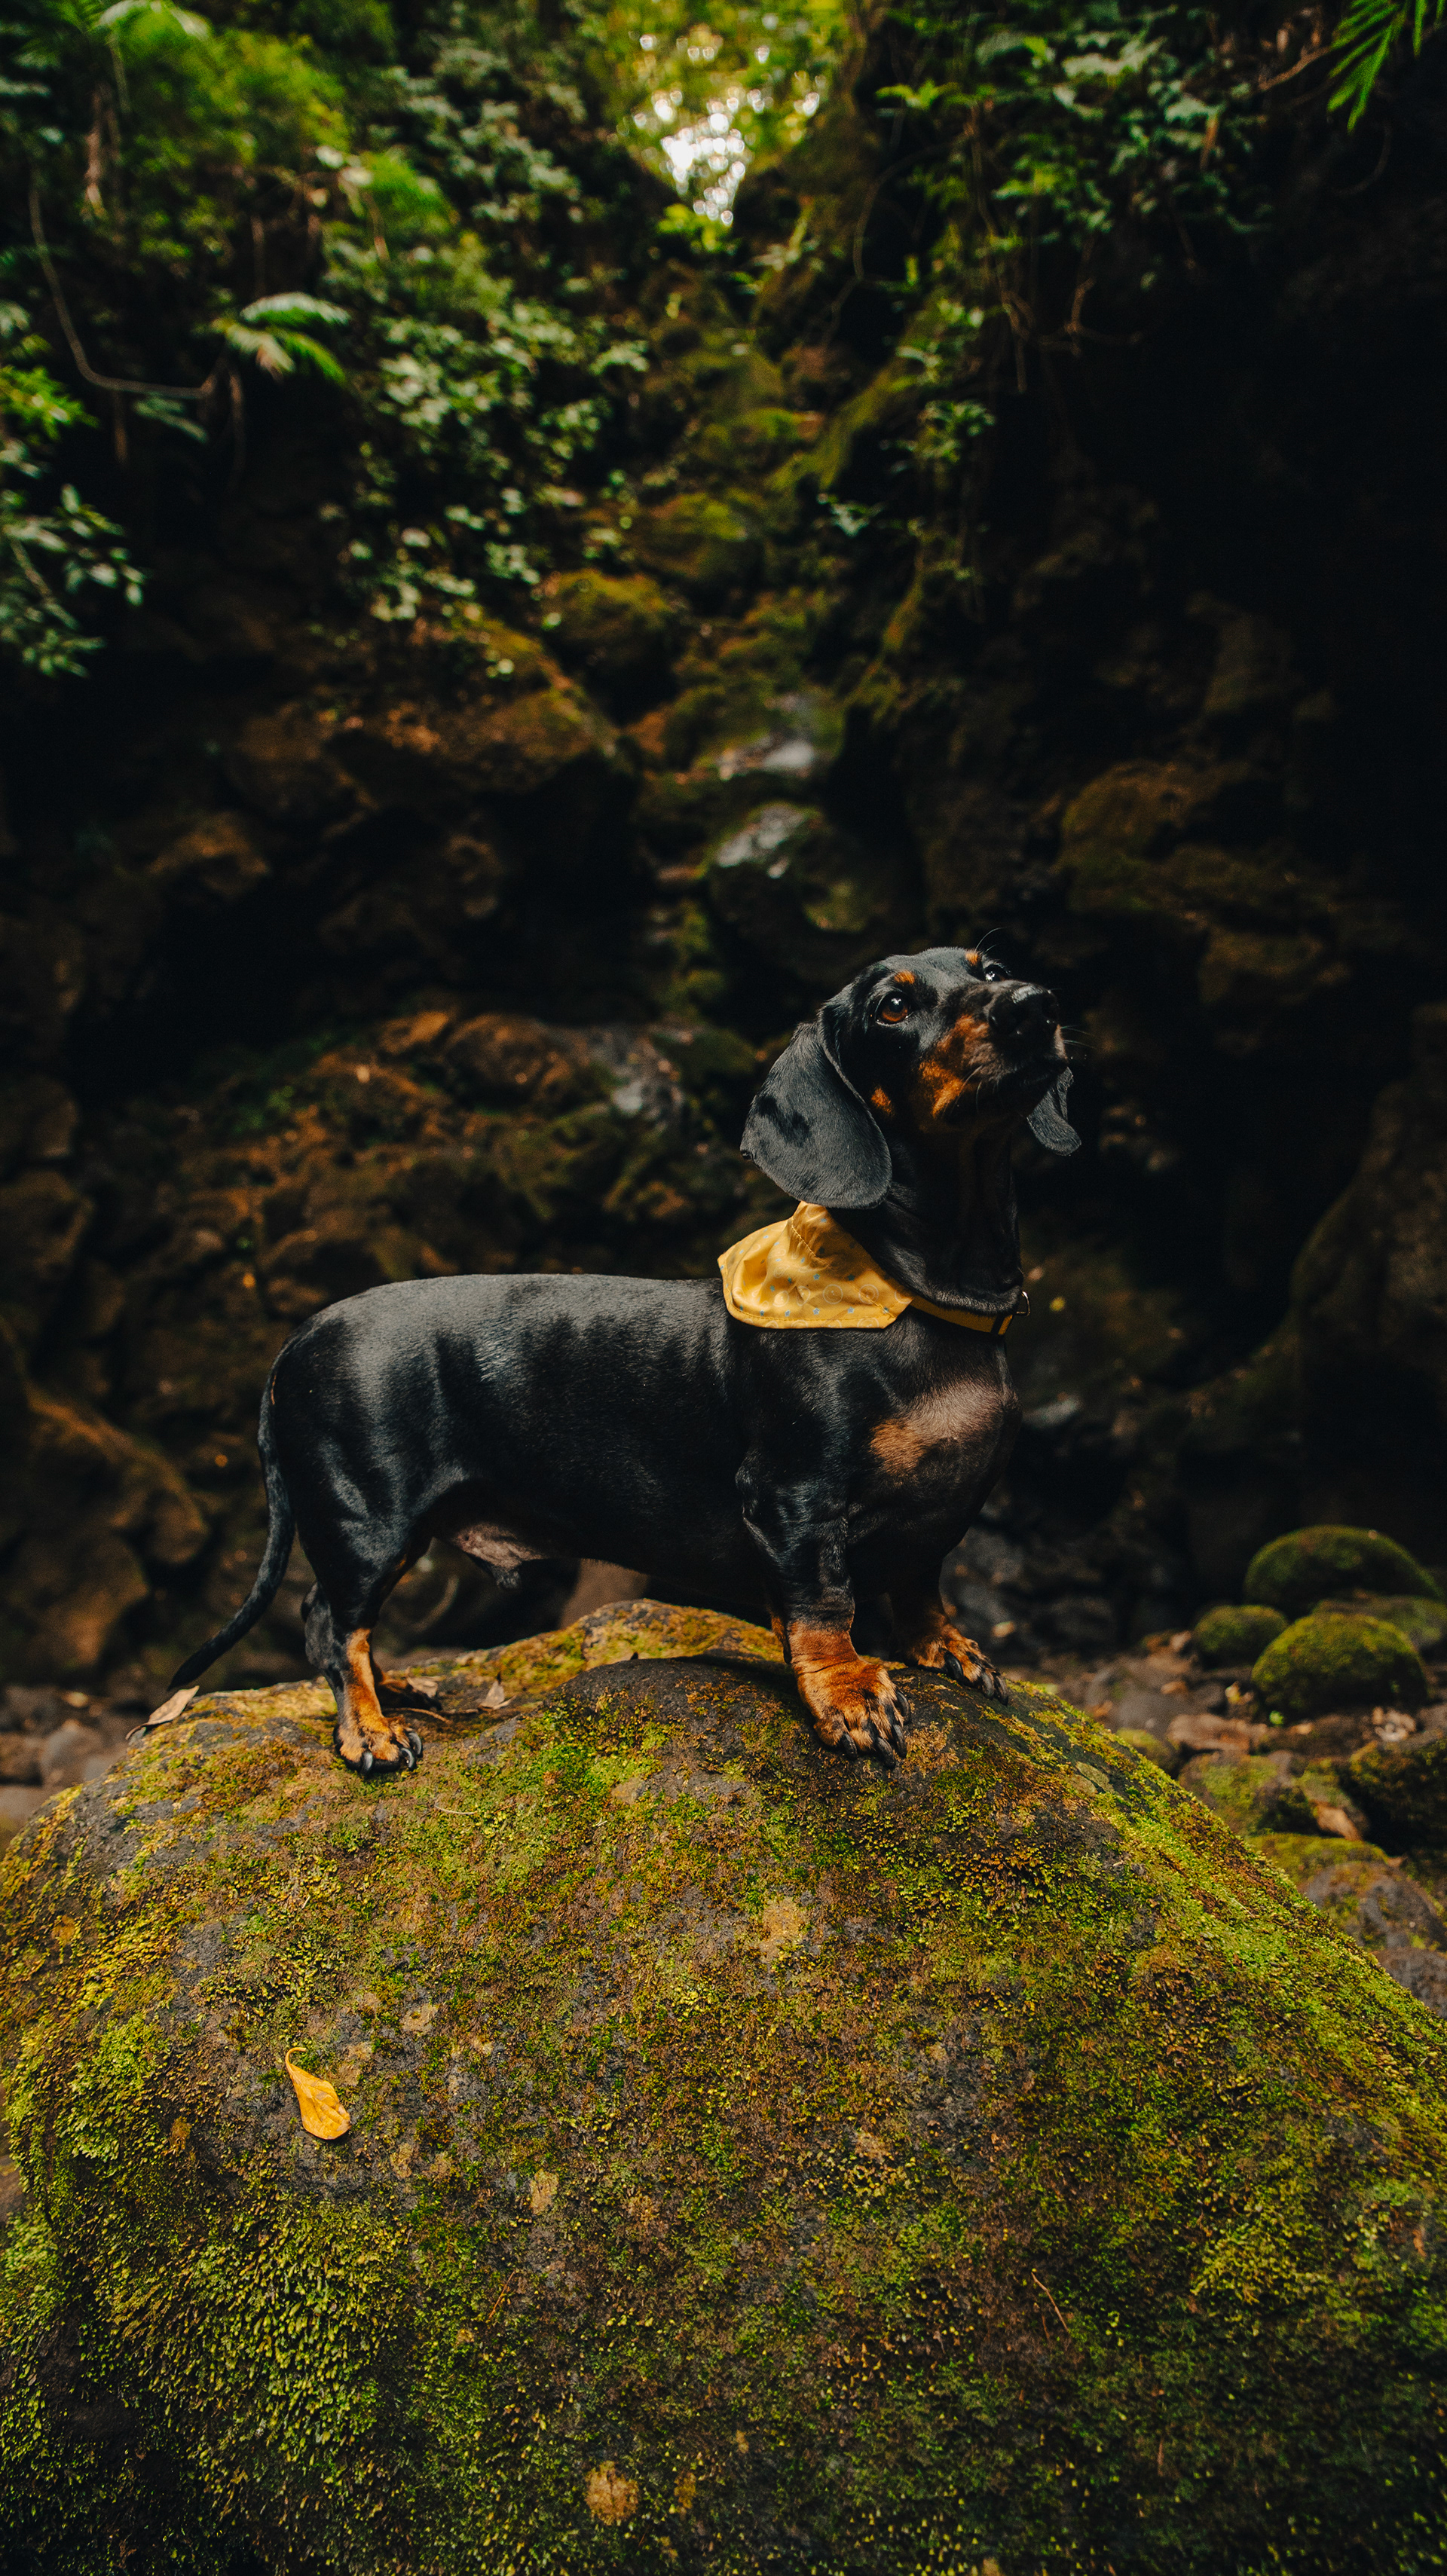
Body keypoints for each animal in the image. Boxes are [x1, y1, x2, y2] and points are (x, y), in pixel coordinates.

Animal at [163, 946, 1076, 1773]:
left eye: (989, 966)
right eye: (893, 1005)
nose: (1035, 1004)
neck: (920, 1293)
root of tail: (298, 1338)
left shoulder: (940, 1509)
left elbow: (921, 1581)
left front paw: (944, 1646)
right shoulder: (793, 1495)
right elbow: (822, 1604)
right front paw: (849, 1692)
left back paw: (399, 1691)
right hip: (367, 1518)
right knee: (330, 1620)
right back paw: (370, 1728)